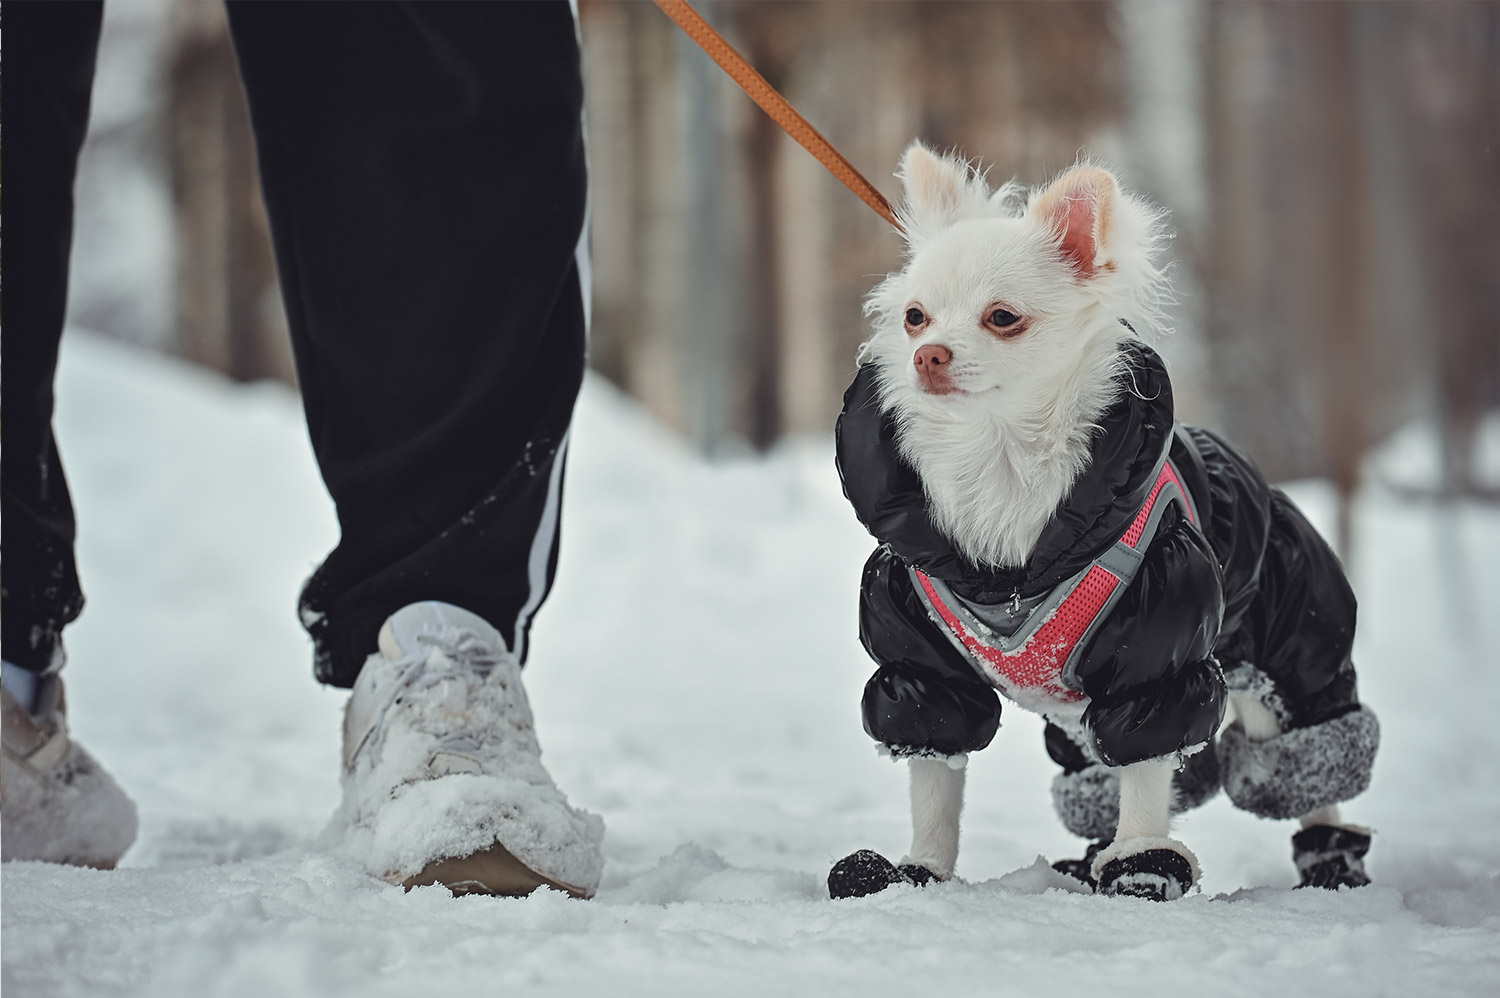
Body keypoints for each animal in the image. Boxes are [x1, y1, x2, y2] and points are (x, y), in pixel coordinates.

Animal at [834, 144, 1380, 900]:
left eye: (1002, 317)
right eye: (915, 317)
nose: (927, 353)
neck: (1002, 461)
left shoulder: (1155, 656)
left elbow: (1147, 770)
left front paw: (1143, 861)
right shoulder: (923, 667)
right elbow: (935, 777)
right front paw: (918, 871)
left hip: (1295, 652)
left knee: (1309, 764)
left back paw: (1331, 862)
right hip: (1080, 718)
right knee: (1096, 772)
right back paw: (1088, 858)